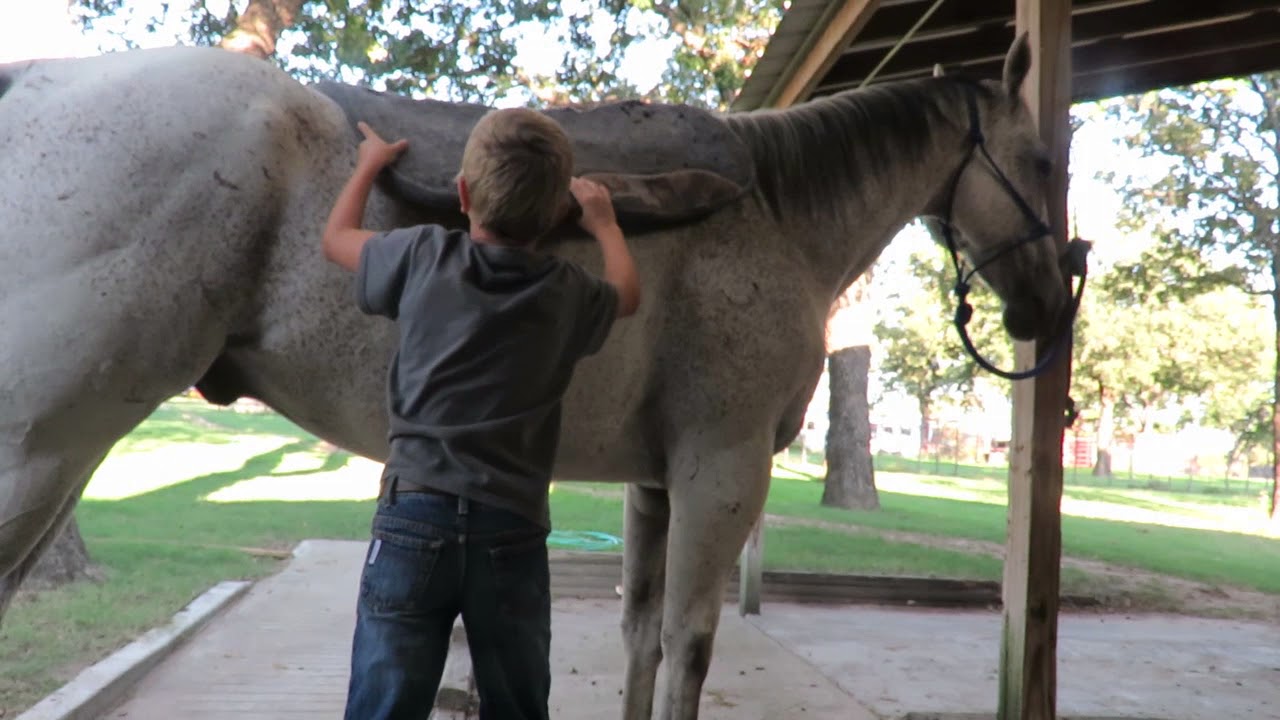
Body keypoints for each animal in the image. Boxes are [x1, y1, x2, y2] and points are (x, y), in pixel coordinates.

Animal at [0, 34, 1068, 719]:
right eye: (1046, 162)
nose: (1048, 309)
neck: (771, 215)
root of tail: (37, 83)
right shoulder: (720, 475)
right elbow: (690, 650)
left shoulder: (655, 485)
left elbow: (643, 638)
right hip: (44, 447)